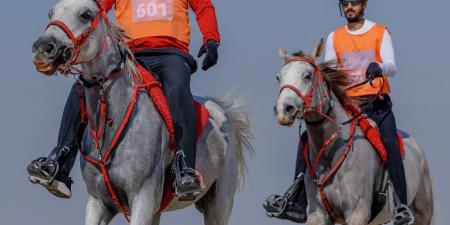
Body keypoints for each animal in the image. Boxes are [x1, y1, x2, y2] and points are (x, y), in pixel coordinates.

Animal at [272, 40, 434, 225]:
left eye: (307, 76)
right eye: (279, 77)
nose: (284, 110)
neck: (331, 153)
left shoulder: (357, 213)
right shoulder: (318, 214)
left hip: (423, 213)